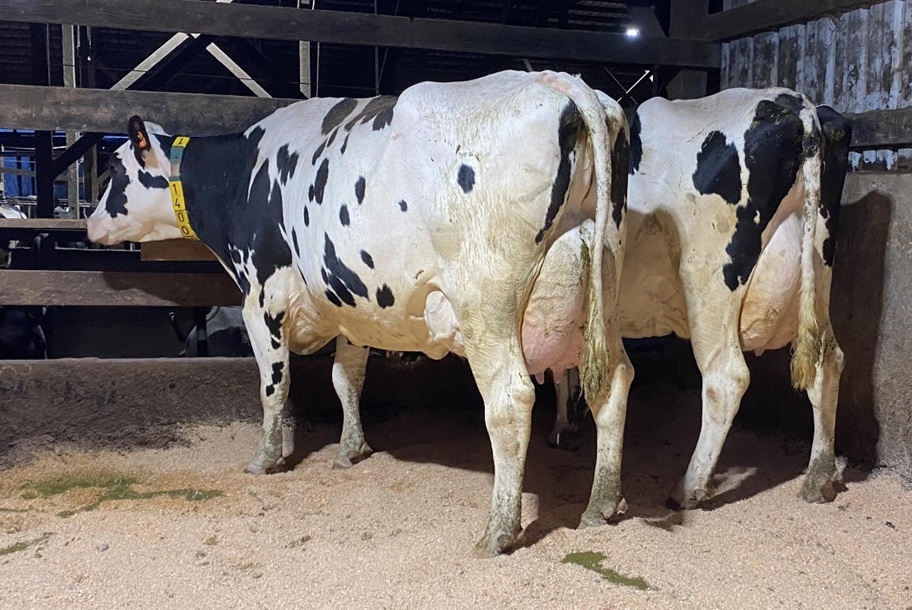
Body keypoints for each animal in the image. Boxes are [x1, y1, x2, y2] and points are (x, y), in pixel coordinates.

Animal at [86, 70, 630, 555]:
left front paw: (266, 459)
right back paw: (602, 504)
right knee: (615, 382)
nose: (90, 223)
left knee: (510, 400)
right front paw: (351, 448)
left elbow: (273, 387)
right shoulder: (355, 308)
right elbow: (346, 380)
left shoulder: (261, 300)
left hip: (486, 306)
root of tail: (557, 81)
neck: (244, 177)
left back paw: (498, 530)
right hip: (602, 293)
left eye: (115, 169)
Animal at [550, 89, 851, 509]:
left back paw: (688, 487)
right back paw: (820, 477)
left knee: (726, 378)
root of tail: (792, 102)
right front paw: (567, 419)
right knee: (828, 363)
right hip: (818, 276)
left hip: (708, 283)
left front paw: (562, 423)